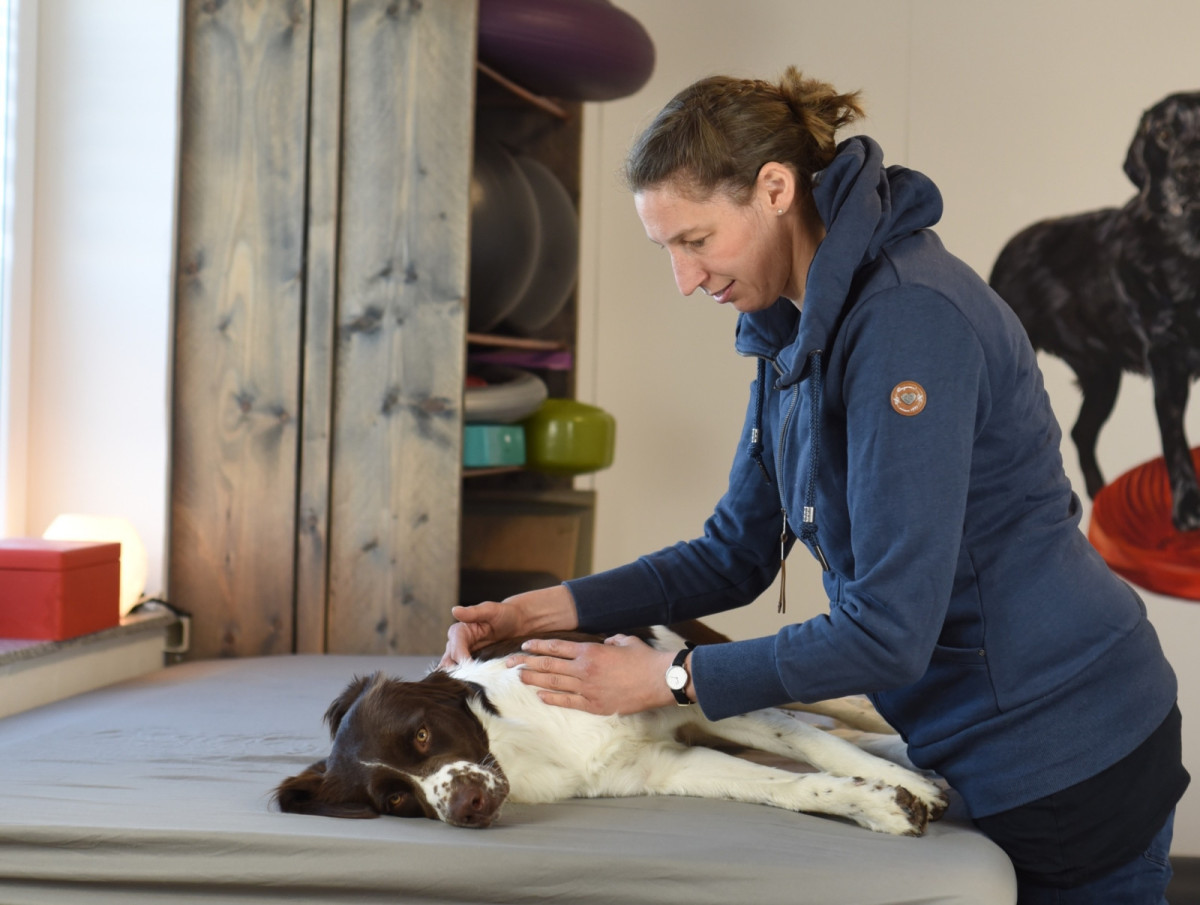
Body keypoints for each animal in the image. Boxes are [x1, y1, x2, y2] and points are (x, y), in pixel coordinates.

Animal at [273, 626, 948, 836]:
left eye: (418, 736)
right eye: (395, 800)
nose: (464, 807)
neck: (528, 745)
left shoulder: (698, 700)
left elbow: (811, 743)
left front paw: (908, 785)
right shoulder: (666, 765)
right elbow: (788, 785)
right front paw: (878, 804)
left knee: (837, 699)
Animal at [989, 90, 1200, 531]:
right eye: (1164, 134)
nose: (1189, 171)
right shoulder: (1167, 362)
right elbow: (1175, 441)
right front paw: (1189, 509)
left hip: (1103, 376)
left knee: (1081, 432)